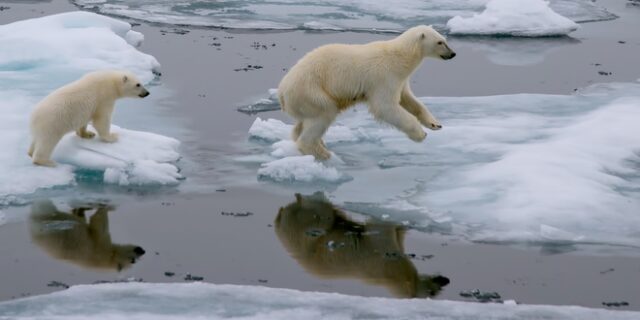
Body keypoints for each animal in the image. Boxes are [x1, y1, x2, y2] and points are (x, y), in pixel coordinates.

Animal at [278, 25, 456, 160]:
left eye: (445, 39)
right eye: (440, 42)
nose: (453, 54)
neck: (400, 56)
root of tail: (282, 91)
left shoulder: (400, 79)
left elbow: (409, 99)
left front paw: (435, 124)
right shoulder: (384, 76)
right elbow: (385, 106)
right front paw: (420, 134)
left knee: (303, 123)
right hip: (312, 91)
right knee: (324, 114)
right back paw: (324, 153)